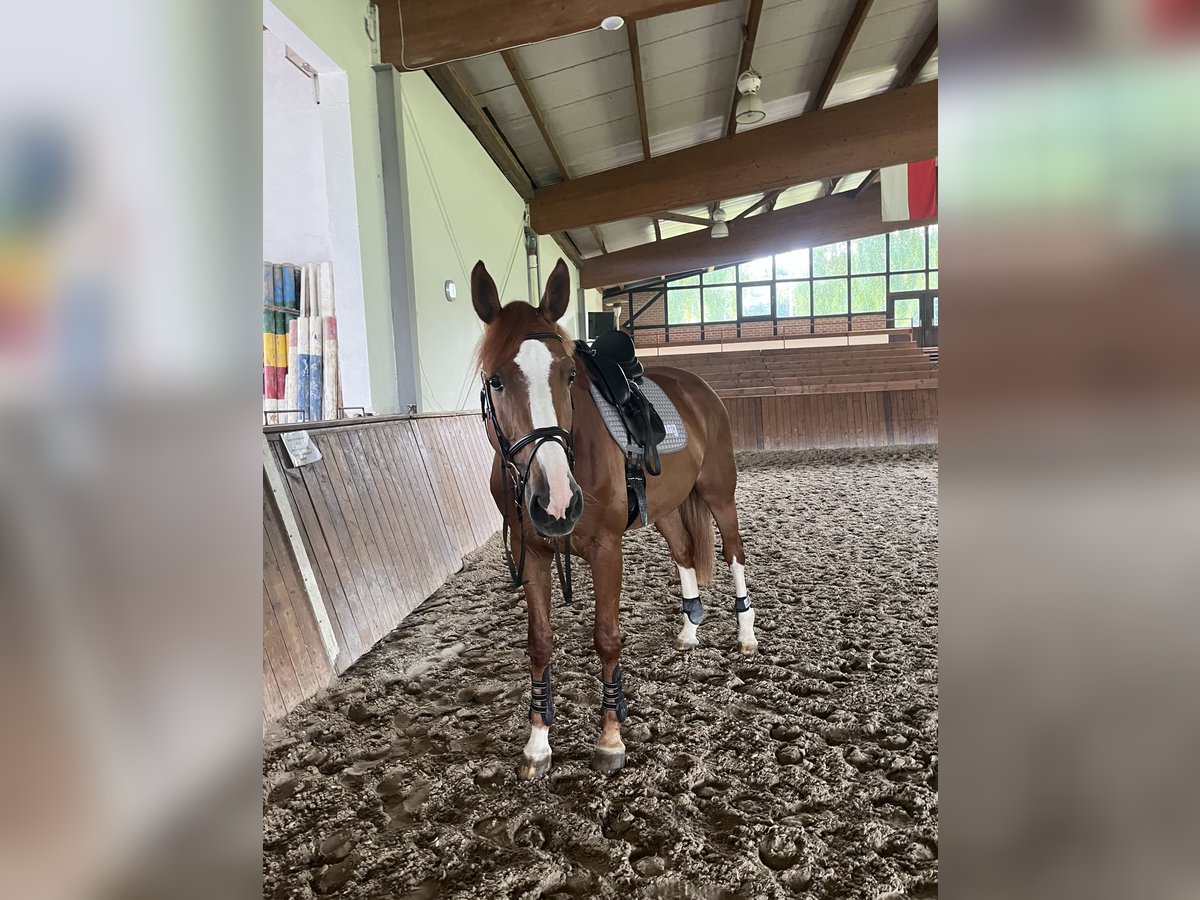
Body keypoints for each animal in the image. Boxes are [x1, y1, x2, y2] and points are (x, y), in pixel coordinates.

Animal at [471, 257, 758, 780]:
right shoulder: (535, 554)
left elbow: (607, 638)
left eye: (568, 375)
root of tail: (699, 388)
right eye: (495, 380)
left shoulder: (607, 549)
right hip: (665, 508)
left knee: (733, 552)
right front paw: (537, 744)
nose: (558, 502)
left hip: (718, 493)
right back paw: (689, 630)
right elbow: (539, 643)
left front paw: (610, 738)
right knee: (685, 553)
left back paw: (746, 634)